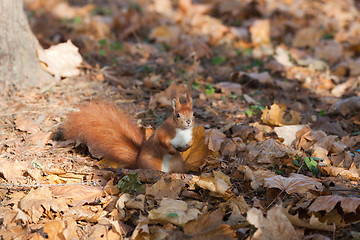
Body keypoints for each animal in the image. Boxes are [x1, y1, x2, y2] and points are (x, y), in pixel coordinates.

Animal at [64, 91, 194, 172]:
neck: (182, 131)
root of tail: (137, 162)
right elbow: (162, 141)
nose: (188, 122)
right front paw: (172, 150)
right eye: (178, 115)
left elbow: (190, 143)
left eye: (193, 114)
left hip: (177, 164)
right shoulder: (164, 132)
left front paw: (185, 148)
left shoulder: (188, 137)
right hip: (151, 163)